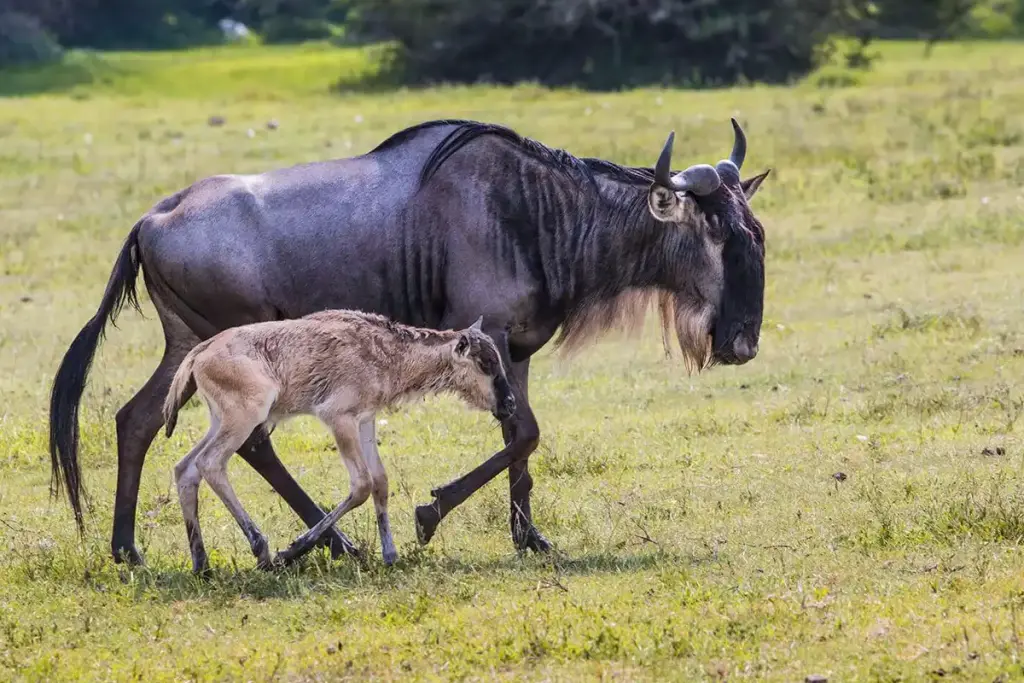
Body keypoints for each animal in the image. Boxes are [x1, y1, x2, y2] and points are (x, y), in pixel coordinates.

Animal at [162, 310, 515, 574]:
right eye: (485, 363)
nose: (510, 404)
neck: (385, 351)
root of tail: (200, 353)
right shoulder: (339, 419)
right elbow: (361, 485)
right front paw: (293, 550)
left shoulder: (365, 421)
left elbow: (380, 482)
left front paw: (390, 555)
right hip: (245, 417)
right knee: (210, 463)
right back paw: (261, 549)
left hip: (221, 421)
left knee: (185, 468)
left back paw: (202, 565)